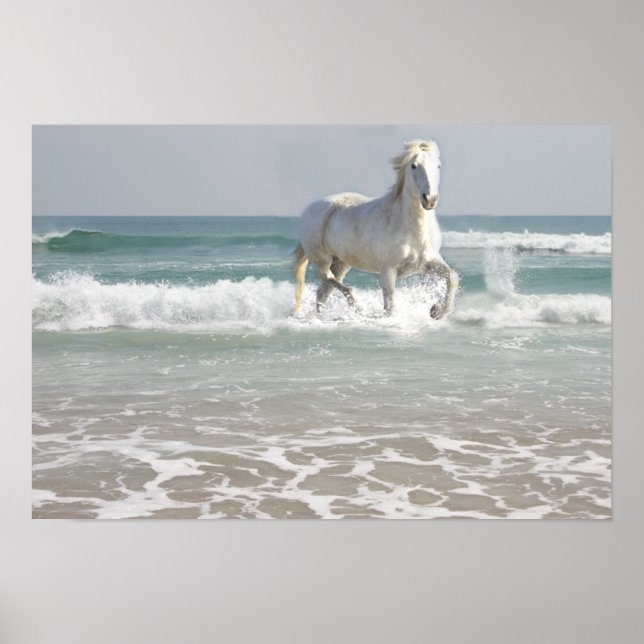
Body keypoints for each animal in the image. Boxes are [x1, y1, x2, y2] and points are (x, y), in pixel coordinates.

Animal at [293, 139, 458, 319]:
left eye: (438, 165)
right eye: (414, 166)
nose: (429, 199)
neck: (413, 230)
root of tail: (310, 207)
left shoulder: (428, 263)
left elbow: (452, 277)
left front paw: (436, 311)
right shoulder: (388, 270)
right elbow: (390, 305)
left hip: (341, 263)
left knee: (323, 292)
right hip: (321, 259)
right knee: (329, 280)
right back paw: (355, 304)